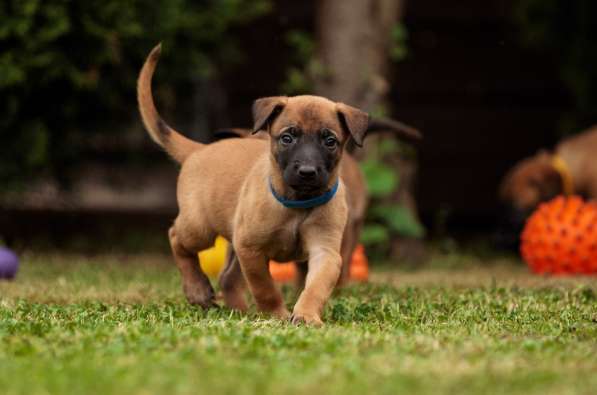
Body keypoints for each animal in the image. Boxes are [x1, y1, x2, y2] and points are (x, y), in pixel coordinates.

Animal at [139, 44, 368, 326]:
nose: (307, 172)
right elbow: (265, 287)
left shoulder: (324, 251)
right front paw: (276, 315)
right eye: (287, 138)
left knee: (227, 277)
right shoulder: (251, 249)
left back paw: (239, 312)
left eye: (330, 141)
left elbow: (316, 287)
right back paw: (197, 289)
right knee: (176, 238)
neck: (298, 203)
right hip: (201, 228)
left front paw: (306, 315)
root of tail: (199, 150)